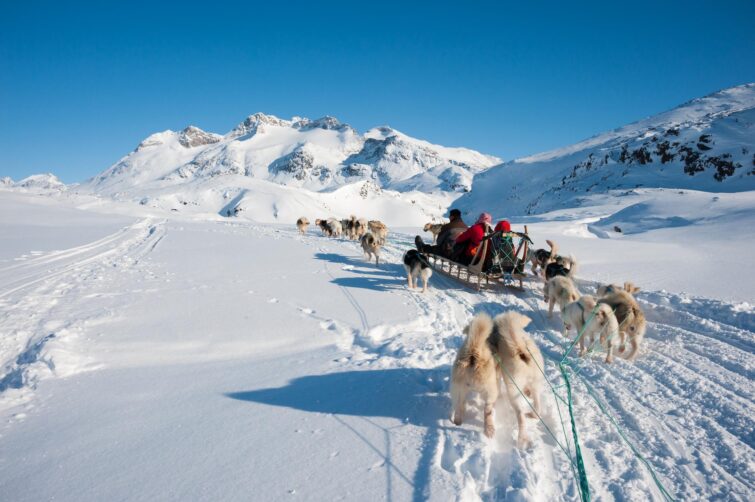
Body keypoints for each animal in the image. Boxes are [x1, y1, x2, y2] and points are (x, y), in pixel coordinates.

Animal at [490, 312, 544, 450]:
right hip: (536, 384)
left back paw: (521, 441)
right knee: (537, 405)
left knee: (521, 416)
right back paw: (533, 413)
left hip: (513, 391)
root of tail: (521, 350)